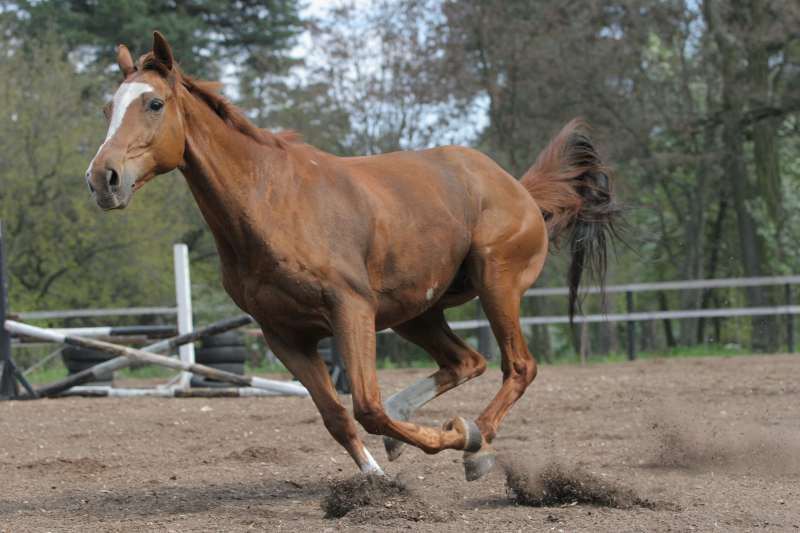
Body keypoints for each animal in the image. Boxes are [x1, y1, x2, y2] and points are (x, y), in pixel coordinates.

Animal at [84, 32, 616, 482]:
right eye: (109, 107)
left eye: (154, 103)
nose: (102, 179)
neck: (270, 202)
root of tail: (519, 189)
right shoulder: (285, 336)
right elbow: (337, 416)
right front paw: (376, 478)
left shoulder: (350, 311)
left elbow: (367, 407)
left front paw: (452, 436)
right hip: (416, 312)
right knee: (465, 362)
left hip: (496, 284)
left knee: (517, 366)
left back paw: (475, 442)